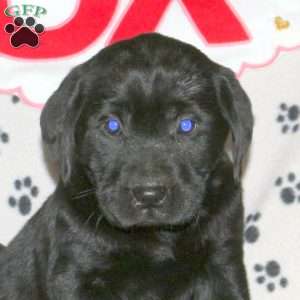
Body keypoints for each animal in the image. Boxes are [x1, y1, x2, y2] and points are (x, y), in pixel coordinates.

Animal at [0, 34, 253, 298]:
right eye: (112, 126)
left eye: (186, 125)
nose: (149, 195)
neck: (156, 234)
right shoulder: (75, 273)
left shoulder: (222, 263)